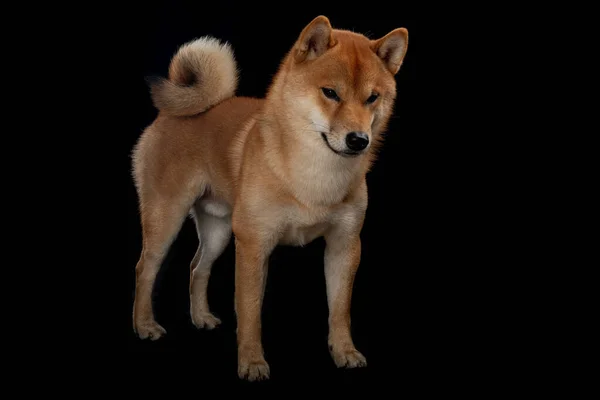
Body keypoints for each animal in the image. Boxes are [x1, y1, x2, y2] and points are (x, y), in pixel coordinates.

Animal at [132, 15, 408, 382]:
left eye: (372, 98)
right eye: (330, 93)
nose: (358, 140)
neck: (314, 173)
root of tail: (171, 114)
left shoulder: (345, 244)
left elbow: (340, 309)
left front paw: (345, 351)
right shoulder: (254, 243)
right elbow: (250, 313)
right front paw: (251, 362)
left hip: (219, 230)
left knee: (197, 267)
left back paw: (201, 317)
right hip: (166, 218)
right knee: (145, 268)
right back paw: (144, 325)